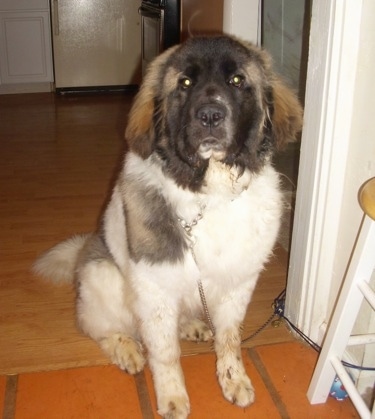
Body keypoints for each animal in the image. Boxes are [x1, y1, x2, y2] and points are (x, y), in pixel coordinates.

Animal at [33, 37, 304, 419]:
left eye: (237, 81)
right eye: (185, 83)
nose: (210, 115)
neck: (210, 195)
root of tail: (85, 249)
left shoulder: (238, 282)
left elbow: (230, 338)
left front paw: (233, 380)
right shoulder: (155, 286)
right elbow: (164, 352)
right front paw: (172, 397)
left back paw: (191, 326)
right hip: (104, 276)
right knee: (98, 327)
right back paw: (127, 350)